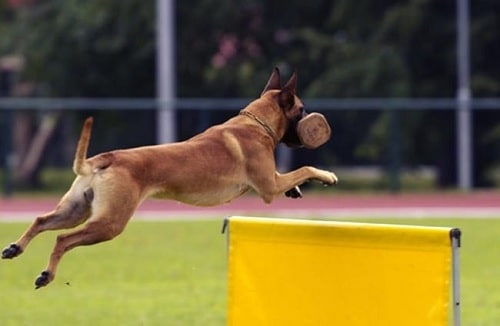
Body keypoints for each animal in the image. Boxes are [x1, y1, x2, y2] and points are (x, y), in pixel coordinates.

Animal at [1, 68, 338, 288]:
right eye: (301, 109)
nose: (313, 123)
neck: (255, 123)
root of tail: (104, 159)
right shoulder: (269, 186)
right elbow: (305, 169)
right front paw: (327, 175)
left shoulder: (272, 180)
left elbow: (294, 176)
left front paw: (296, 191)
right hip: (109, 223)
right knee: (63, 239)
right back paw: (47, 275)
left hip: (75, 210)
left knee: (41, 220)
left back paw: (15, 248)